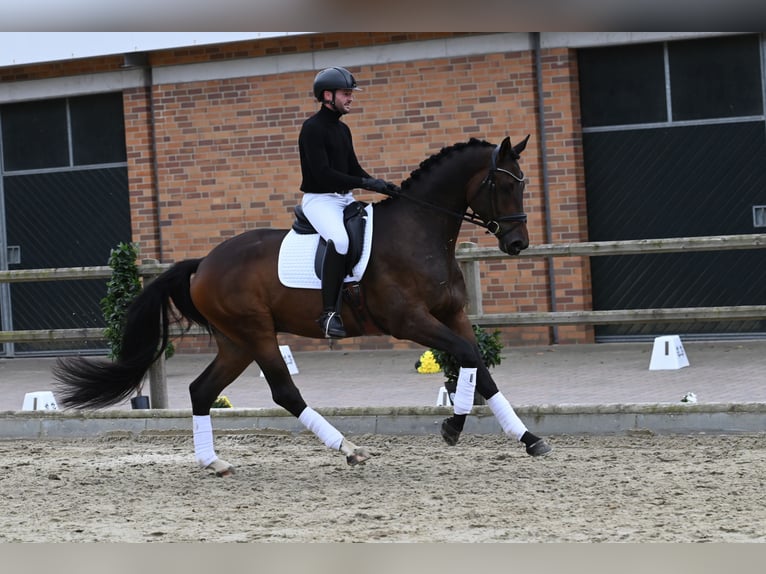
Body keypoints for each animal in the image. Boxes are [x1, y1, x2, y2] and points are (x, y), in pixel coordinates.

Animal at [54, 136, 552, 476]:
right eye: (500, 184)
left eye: (524, 184)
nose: (517, 243)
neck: (421, 232)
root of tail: (203, 264)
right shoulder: (410, 321)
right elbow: (467, 359)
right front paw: (453, 428)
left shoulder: (452, 315)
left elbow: (481, 368)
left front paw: (529, 438)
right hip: (257, 333)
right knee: (283, 392)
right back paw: (348, 449)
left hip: (236, 342)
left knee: (201, 391)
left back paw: (213, 462)